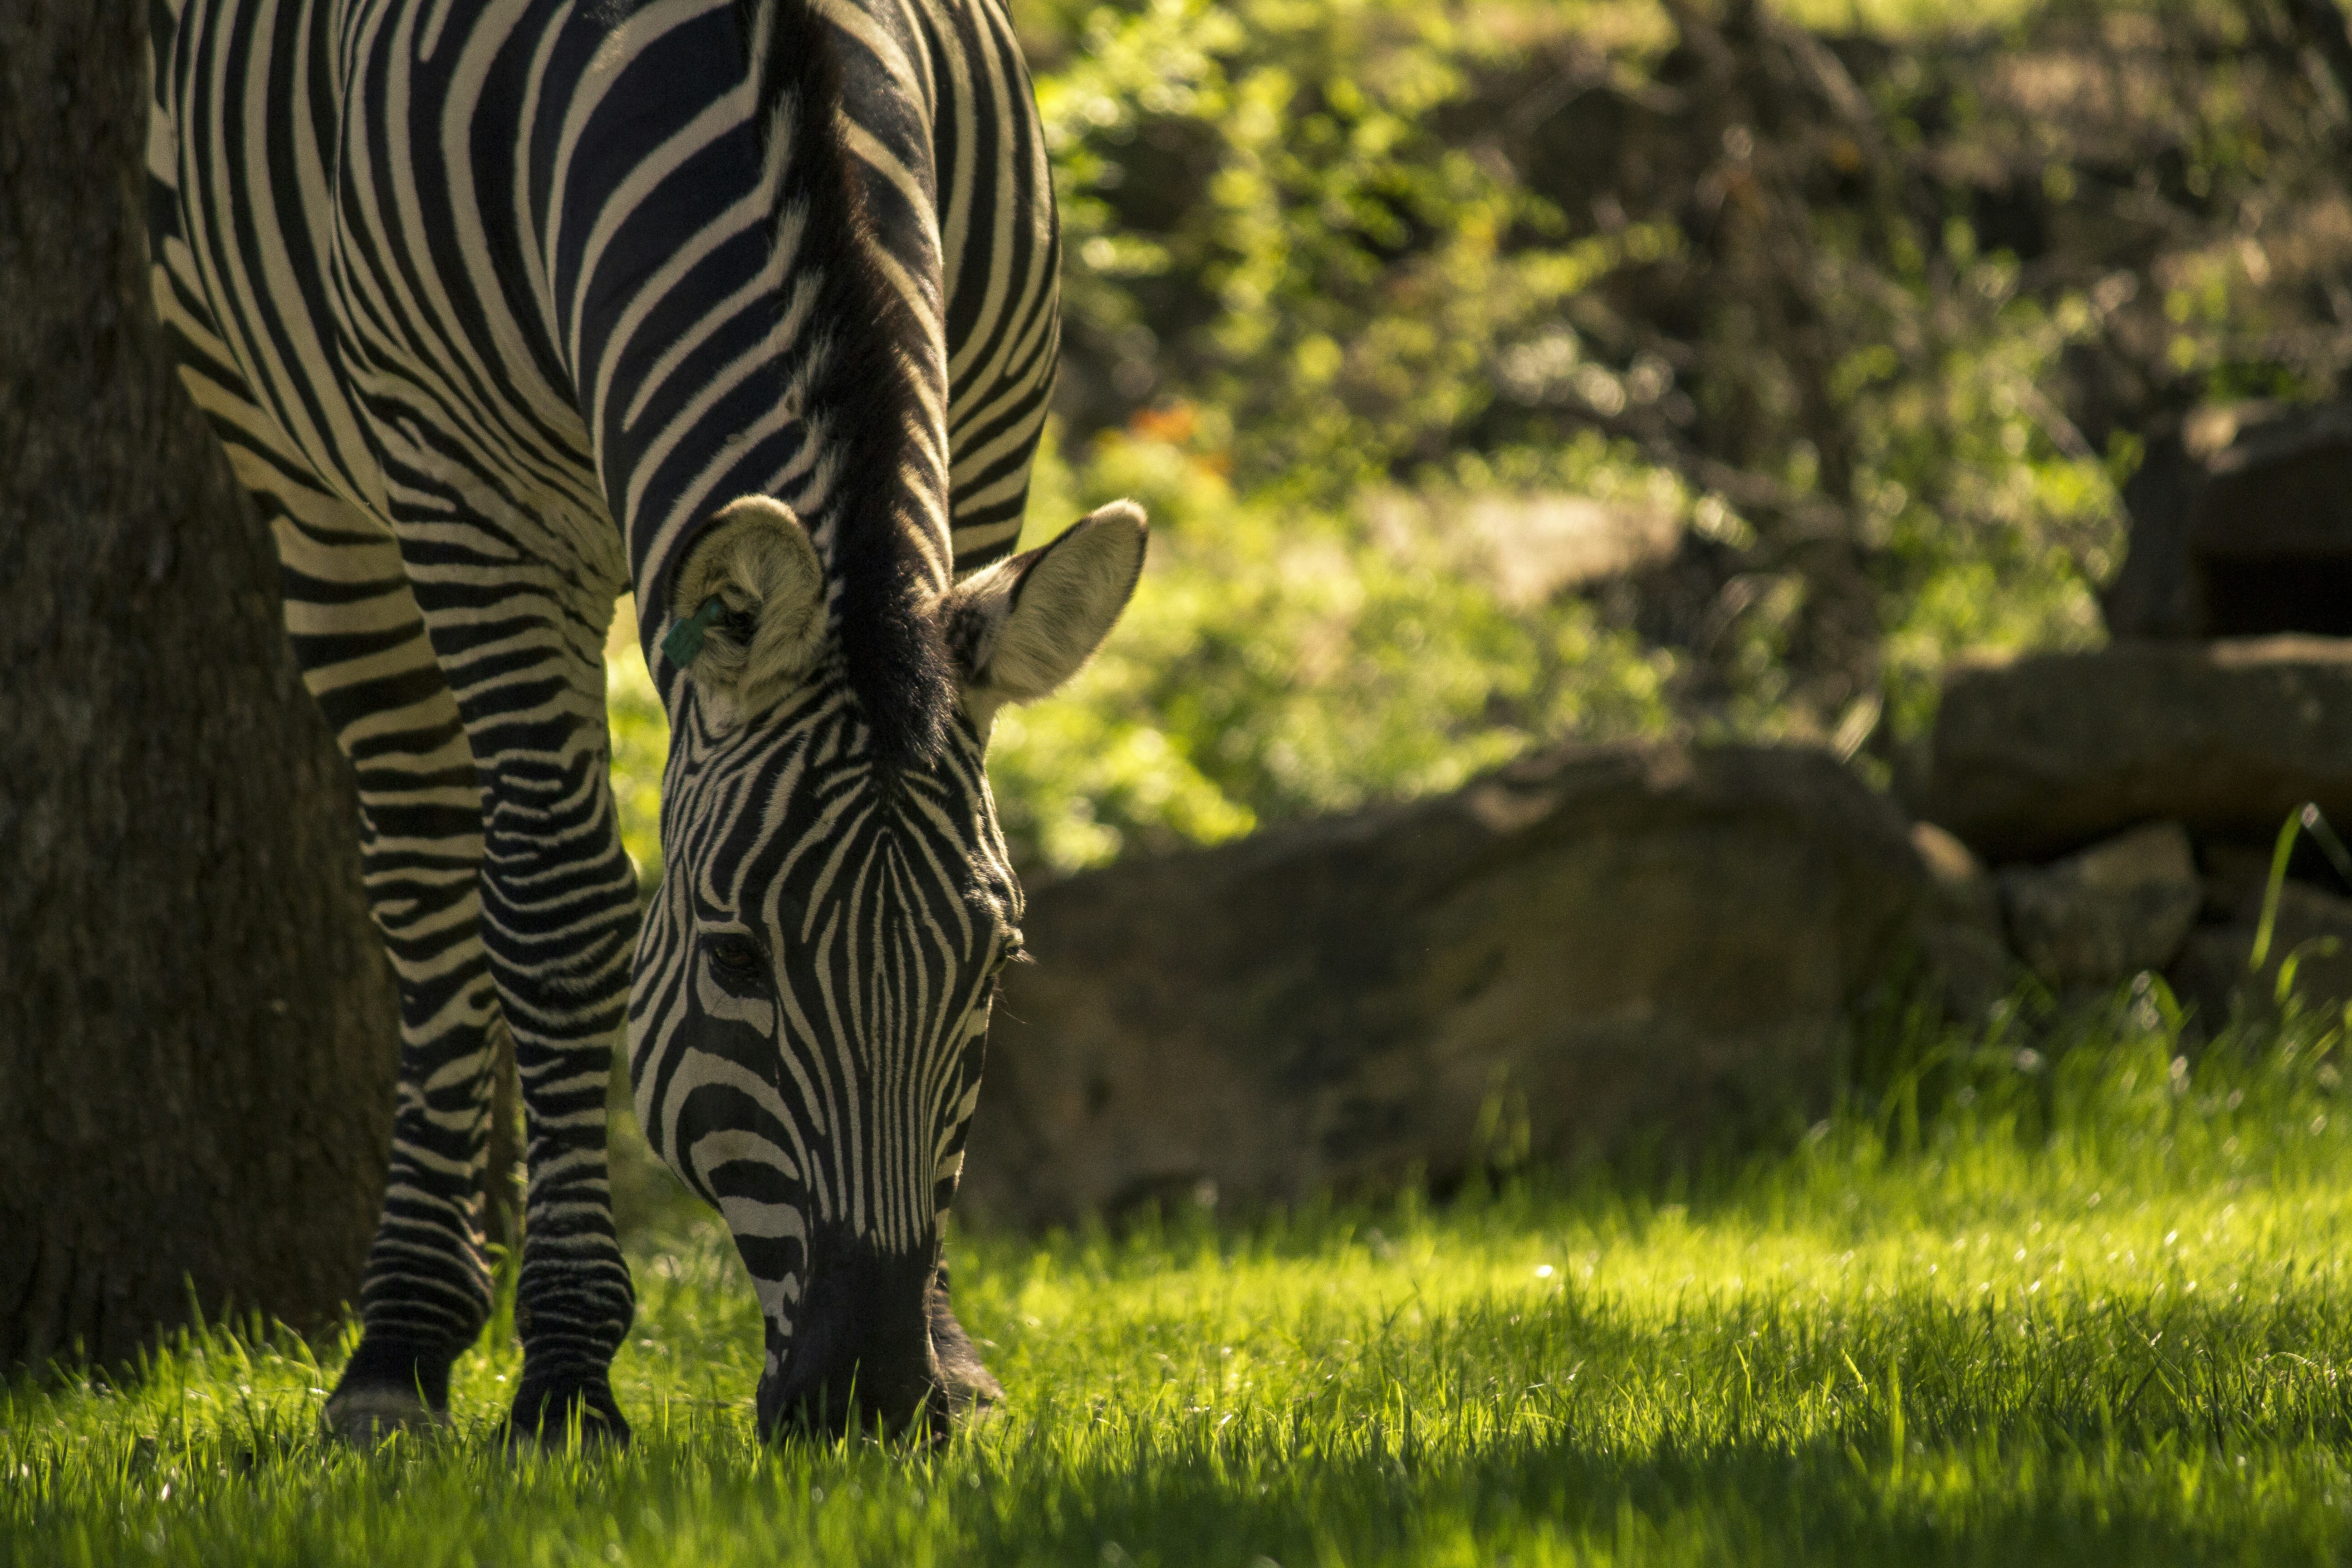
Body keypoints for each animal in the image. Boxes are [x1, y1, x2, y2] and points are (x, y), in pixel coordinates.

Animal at [146, 0, 1146, 1443]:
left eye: (997, 964)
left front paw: (958, 1356)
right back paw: (400, 1345)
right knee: (431, 879)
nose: (873, 1399)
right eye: (735, 957)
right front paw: (565, 1375)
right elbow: (559, 912)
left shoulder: (994, 413)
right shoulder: (476, 495)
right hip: (312, 484)